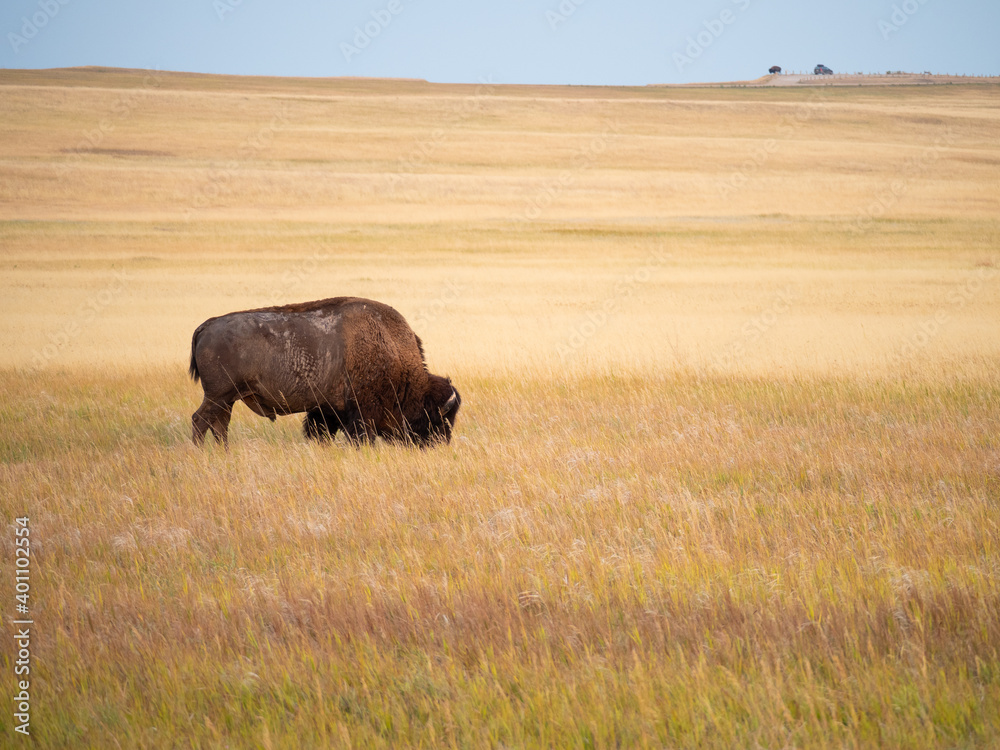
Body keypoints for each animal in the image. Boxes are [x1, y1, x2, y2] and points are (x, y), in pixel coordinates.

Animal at [189, 297, 460, 447]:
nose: (439, 443)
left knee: (219, 426)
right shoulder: (361, 414)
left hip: (227, 399)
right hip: (219, 396)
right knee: (200, 420)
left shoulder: (327, 410)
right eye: (437, 418)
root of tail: (207, 325)